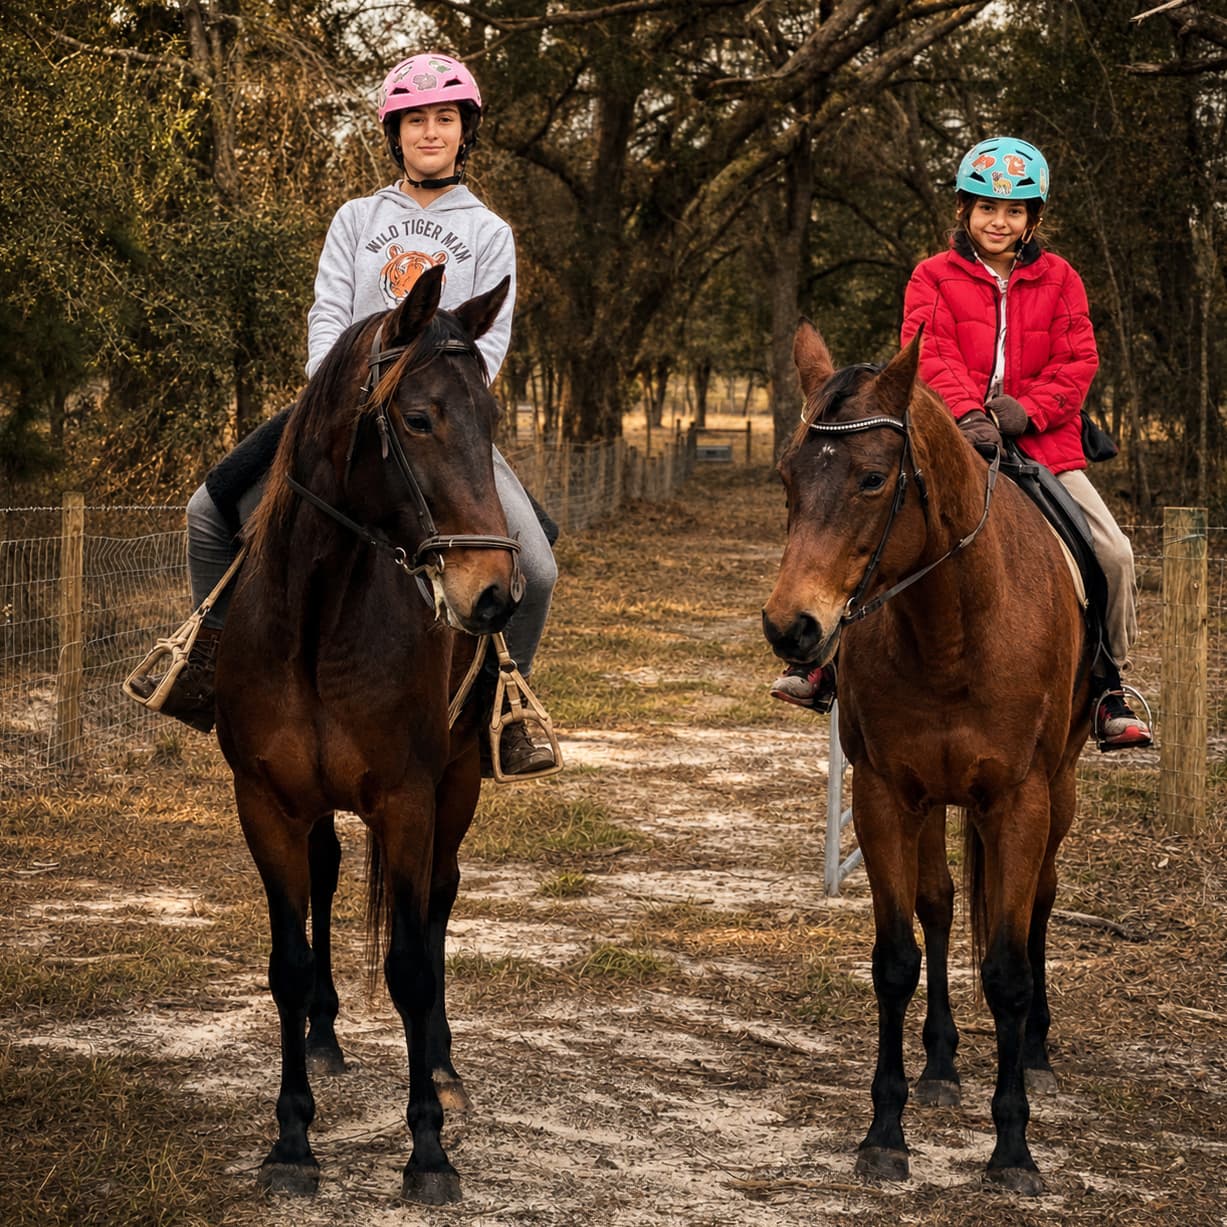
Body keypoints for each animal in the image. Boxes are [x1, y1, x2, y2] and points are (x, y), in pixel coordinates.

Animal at [214, 265, 520, 1204]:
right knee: (325, 879)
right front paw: (290, 1141)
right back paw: (323, 1037)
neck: (317, 619)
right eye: (417, 418)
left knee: (439, 905)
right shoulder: (266, 800)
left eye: (493, 418)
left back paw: (446, 1071)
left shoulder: (408, 800)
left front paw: (428, 1149)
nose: (493, 593)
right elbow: (286, 960)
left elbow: (412, 965)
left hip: (456, 784)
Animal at [762, 321, 1094, 1195]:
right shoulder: (885, 795)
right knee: (940, 905)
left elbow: (1008, 969)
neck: (953, 630)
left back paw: (1036, 1053)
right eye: (787, 477)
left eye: (873, 478)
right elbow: (895, 956)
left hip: (1059, 791)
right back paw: (941, 1066)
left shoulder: (1018, 801)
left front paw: (1012, 1147)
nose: (791, 627)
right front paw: (885, 1130)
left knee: (1038, 903)